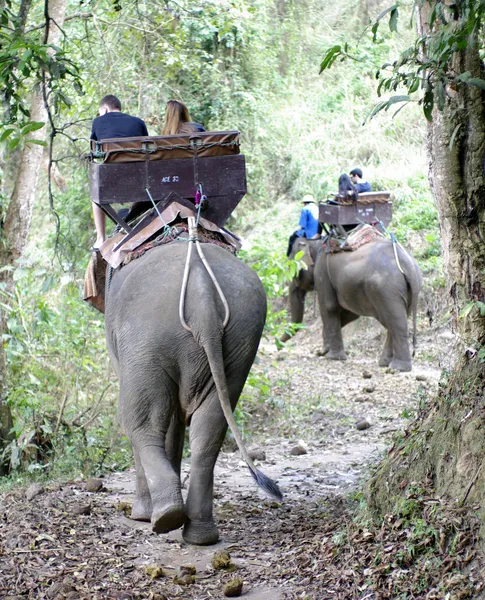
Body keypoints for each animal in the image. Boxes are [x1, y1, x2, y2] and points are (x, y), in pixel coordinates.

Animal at [104, 237, 282, 548]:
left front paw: (141, 516)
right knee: (211, 427)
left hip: (146, 339)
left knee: (140, 421)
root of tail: (202, 291)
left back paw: (163, 516)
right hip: (241, 341)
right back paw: (199, 534)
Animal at [284, 237, 420, 372]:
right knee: (397, 320)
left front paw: (331, 356)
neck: (315, 242)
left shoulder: (321, 272)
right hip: (406, 292)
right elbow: (350, 315)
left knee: (395, 322)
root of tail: (408, 266)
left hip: (386, 290)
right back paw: (385, 363)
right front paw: (323, 350)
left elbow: (330, 307)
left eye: (291, 269)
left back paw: (397, 368)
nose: (279, 346)